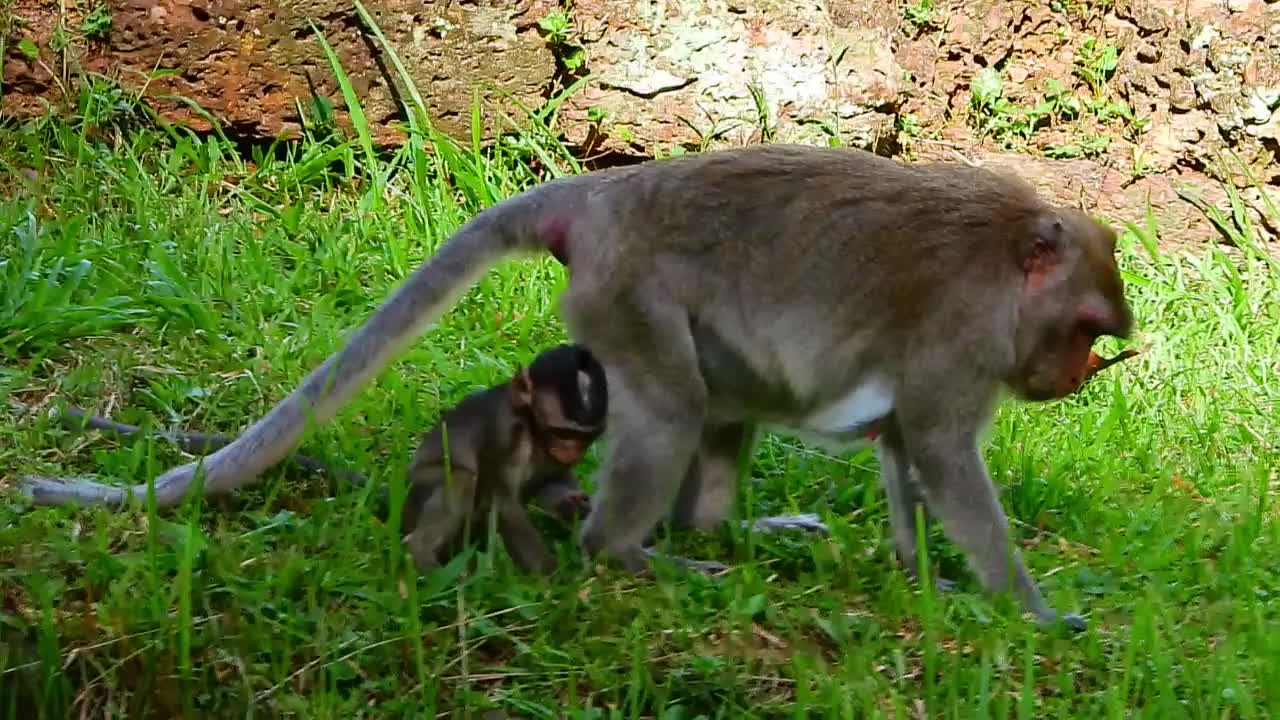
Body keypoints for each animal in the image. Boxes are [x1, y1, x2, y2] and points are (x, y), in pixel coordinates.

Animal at [400, 343, 607, 575]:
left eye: (585, 437)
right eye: (562, 432)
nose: (572, 451)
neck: (530, 426)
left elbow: (551, 478)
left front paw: (574, 506)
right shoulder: (503, 435)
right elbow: (503, 501)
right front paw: (551, 575)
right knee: (462, 478)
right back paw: (426, 558)